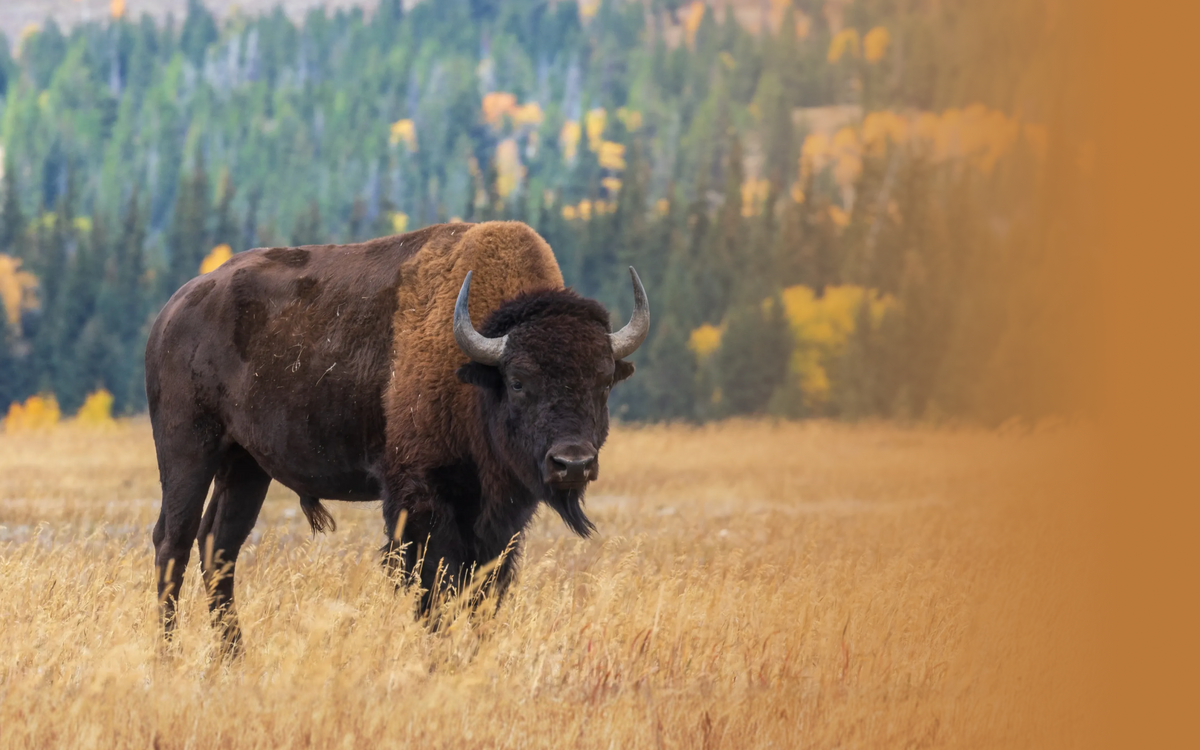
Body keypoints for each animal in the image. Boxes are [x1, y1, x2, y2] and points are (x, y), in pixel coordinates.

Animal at [146, 221, 648, 651]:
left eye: (604, 381)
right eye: (519, 381)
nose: (572, 463)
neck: (477, 371)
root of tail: (172, 310)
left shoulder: (500, 517)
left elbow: (485, 589)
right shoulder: (419, 499)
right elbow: (435, 587)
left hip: (246, 465)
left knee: (219, 545)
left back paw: (233, 656)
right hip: (188, 451)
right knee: (174, 541)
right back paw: (168, 654)